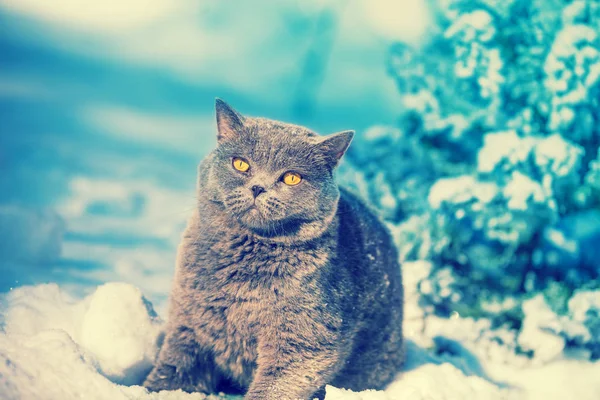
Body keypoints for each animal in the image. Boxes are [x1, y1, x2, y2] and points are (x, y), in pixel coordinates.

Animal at [142, 100, 404, 400]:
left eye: (291, 178)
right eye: (240, 164)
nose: (258, 187)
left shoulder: (304, 340)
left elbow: (277, 384)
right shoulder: (189, 320)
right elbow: (173, 369)